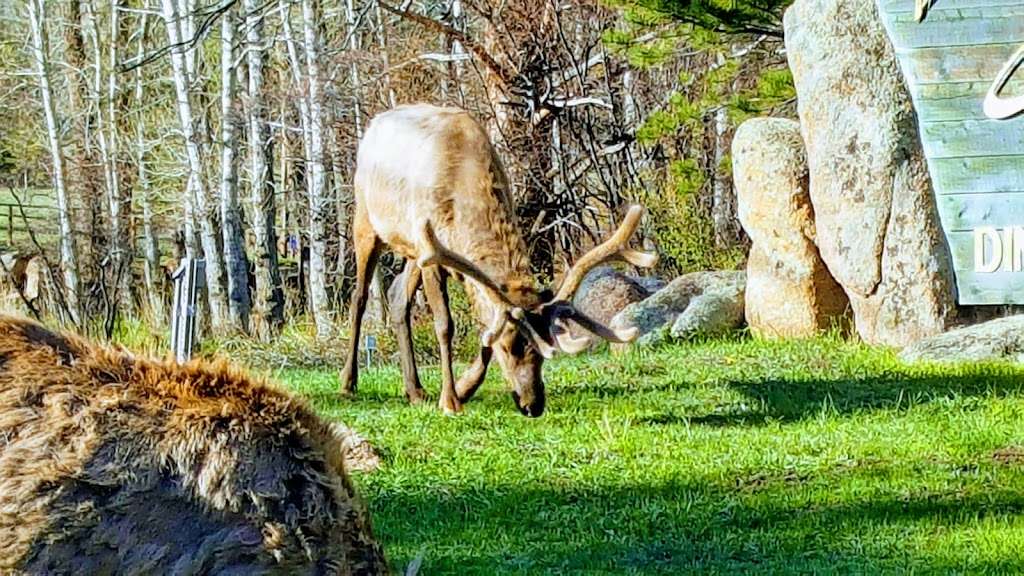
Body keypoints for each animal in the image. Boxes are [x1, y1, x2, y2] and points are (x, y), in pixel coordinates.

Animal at [337, 103, 655, 414]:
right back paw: (348, 382)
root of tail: (373, 125)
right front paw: (450, 400)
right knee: (358, 299)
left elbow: (484, 326)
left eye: (544, 350)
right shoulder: (434, 256)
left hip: (412, 250)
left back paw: (414, 390)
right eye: (507, 347)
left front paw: (465, 387)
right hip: (365, 221)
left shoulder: (435, 254)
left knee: (397, 298)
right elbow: (445, 324)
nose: (532, 405)